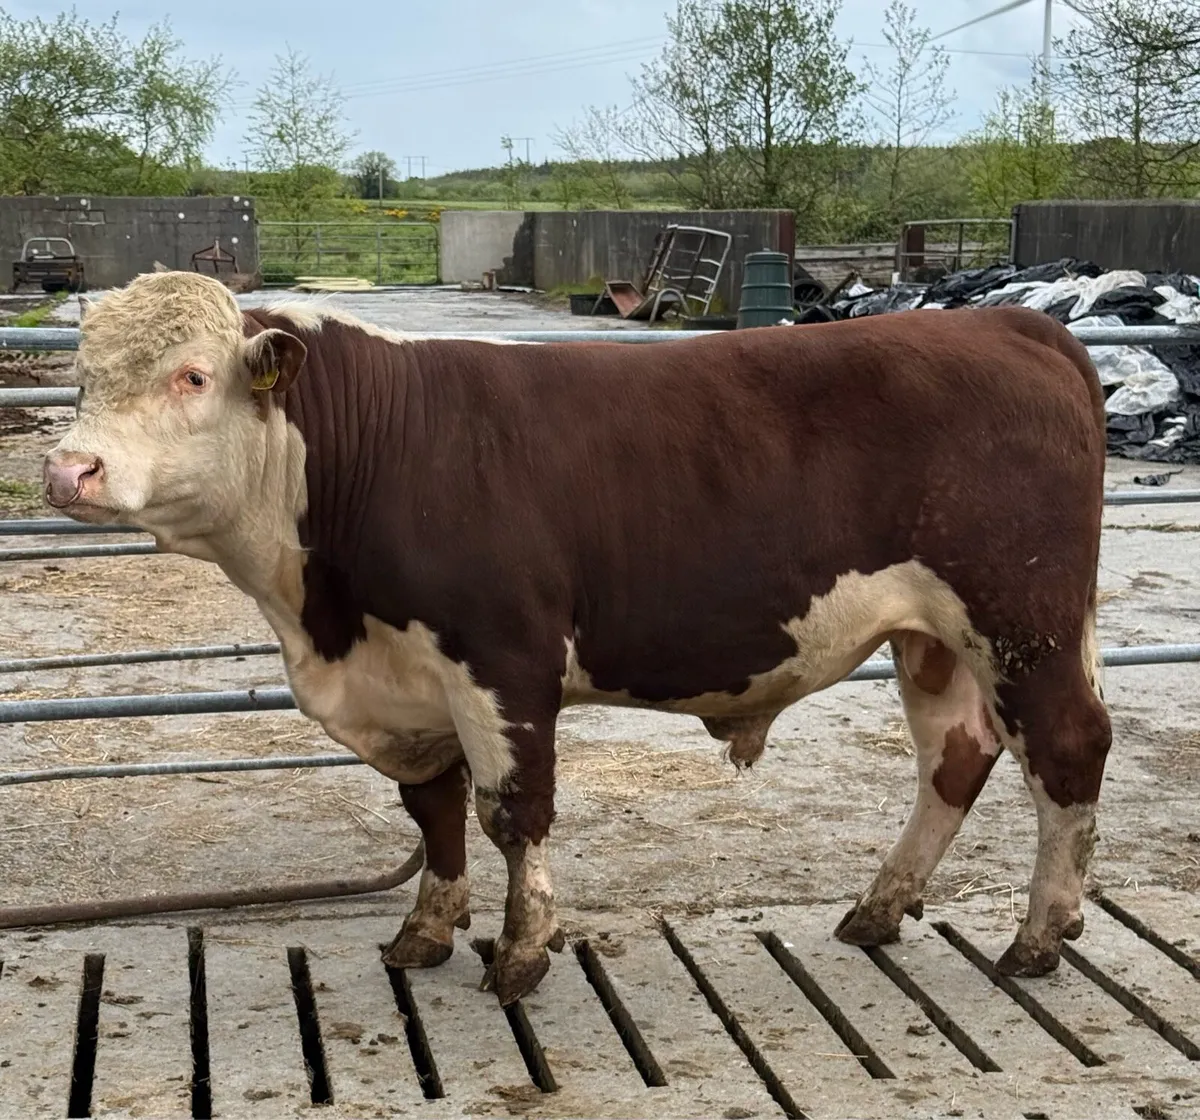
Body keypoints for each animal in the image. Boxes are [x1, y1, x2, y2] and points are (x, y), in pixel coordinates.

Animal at [43, 271, 1112, 1006]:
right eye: (85, 379)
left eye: (192, 375)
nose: (67, 470)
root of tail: (1006, 322)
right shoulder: (412, 685)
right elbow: (433, 811)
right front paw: (425, 931)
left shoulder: (503, 656)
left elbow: (513, 812)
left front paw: (521, 953)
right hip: (934, 638)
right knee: (955, 758)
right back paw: (880, 909)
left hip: (1023, 619)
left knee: (1066, 750)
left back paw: (1039, 937)